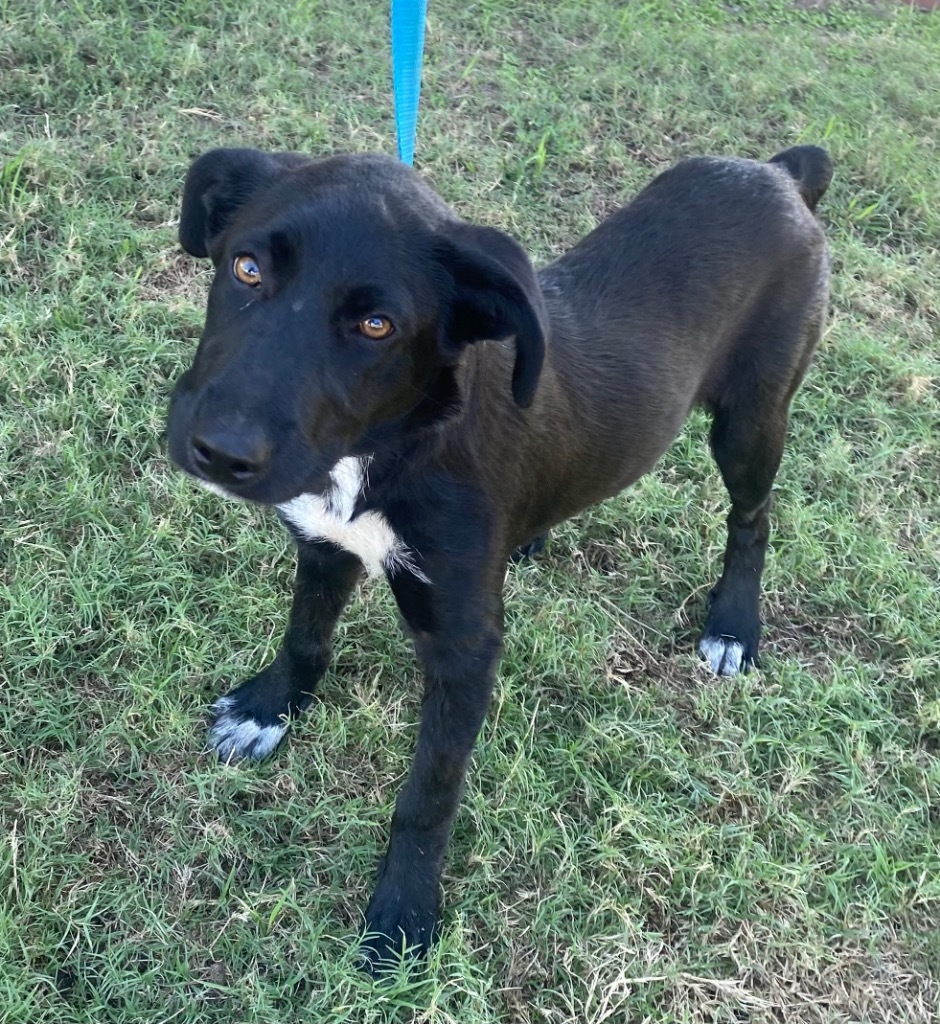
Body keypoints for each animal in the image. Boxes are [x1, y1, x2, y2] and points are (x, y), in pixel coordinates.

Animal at [167, 144, 831, 966]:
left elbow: (428, 794)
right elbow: (304, 638)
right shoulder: (324, 543)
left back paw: (736, 624)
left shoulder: (464, 649)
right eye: (247, 269)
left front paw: (404, 913)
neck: (392, 444)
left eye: (378, 325)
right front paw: (268, 708)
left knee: (753, 517)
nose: (220, 452)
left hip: (751, 418)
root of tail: (780, 174)